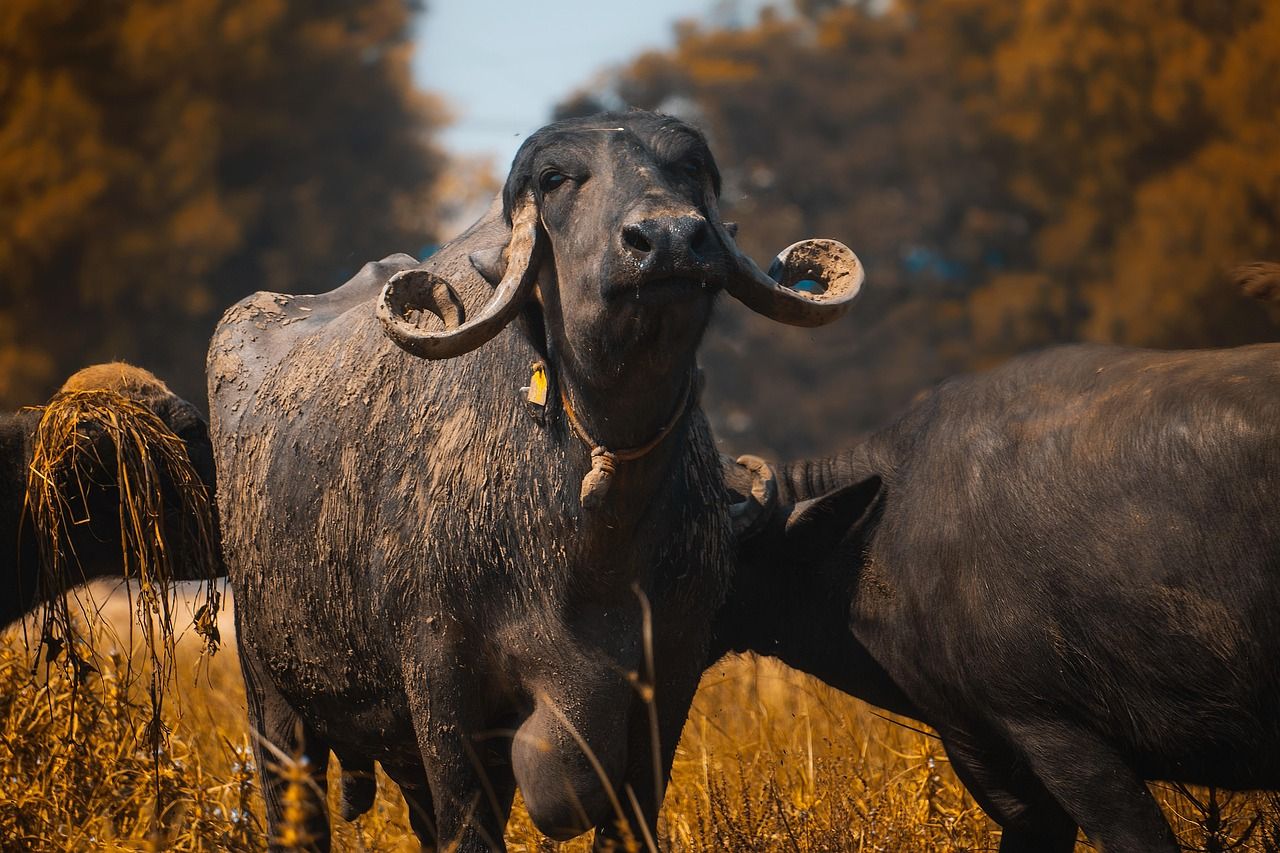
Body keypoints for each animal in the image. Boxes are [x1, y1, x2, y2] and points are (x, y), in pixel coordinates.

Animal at [207, 111, 863, 850]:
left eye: (690, 167)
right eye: (555, 179)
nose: (669, 238)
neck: (592, 540)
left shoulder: (668, 681)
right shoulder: (444, 691)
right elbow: (469, 825)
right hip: (272, 703)